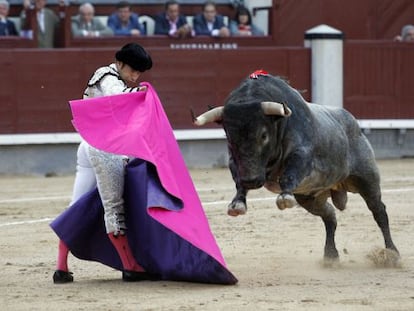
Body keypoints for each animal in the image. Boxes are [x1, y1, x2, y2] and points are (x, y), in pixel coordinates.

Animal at [192, 71, 400, 260]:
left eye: (263, 135)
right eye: (230, 137)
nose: (252, 181)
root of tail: (354, 124)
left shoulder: (302, 154)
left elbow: (290, 172)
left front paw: (284, 197)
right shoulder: (235, 161)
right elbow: (237, 177)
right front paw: (237, 203)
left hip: (367, 179)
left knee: (379, 211)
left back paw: (392, 253)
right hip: (309, 198)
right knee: (330, 215)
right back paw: (331, 255)